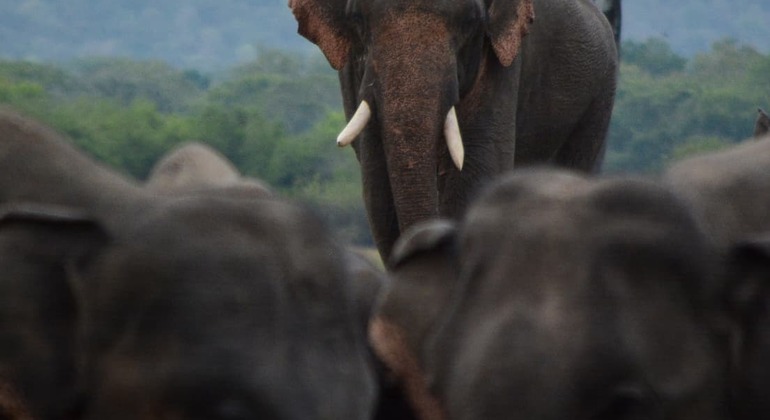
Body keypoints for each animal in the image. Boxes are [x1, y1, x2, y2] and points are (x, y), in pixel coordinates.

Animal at [290, 0, 619, 261]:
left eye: (471, 21)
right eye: (357, 17)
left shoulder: (501, 58)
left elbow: (474, 173)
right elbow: (378, 187)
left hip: (600, 93)